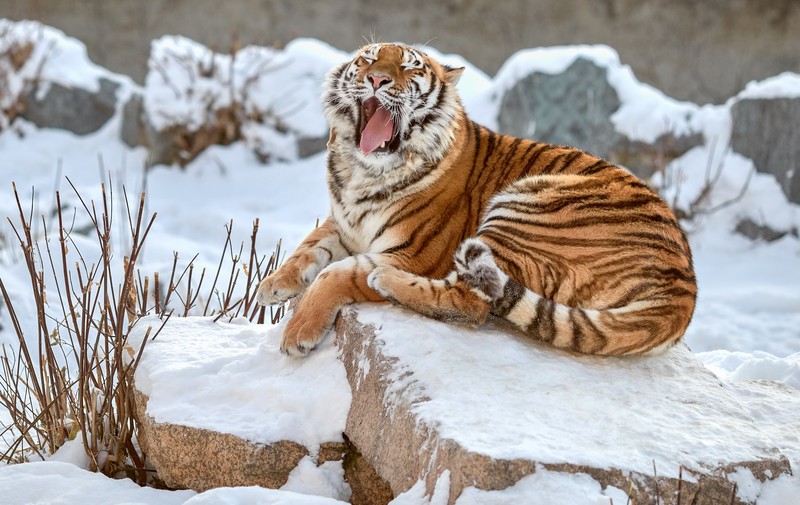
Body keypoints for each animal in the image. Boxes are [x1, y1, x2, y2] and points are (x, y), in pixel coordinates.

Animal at [256, 42, 697, 358]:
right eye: (369, 59)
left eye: (410, 68)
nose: (378, 79)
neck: (362, 171)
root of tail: (685, 288)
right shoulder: (345, 222)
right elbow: (310, 245)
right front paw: (274, 284)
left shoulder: (415, 252)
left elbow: (337, 273)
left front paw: (298, 332)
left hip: (525, 208)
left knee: (470, 301)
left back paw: (385, 280)